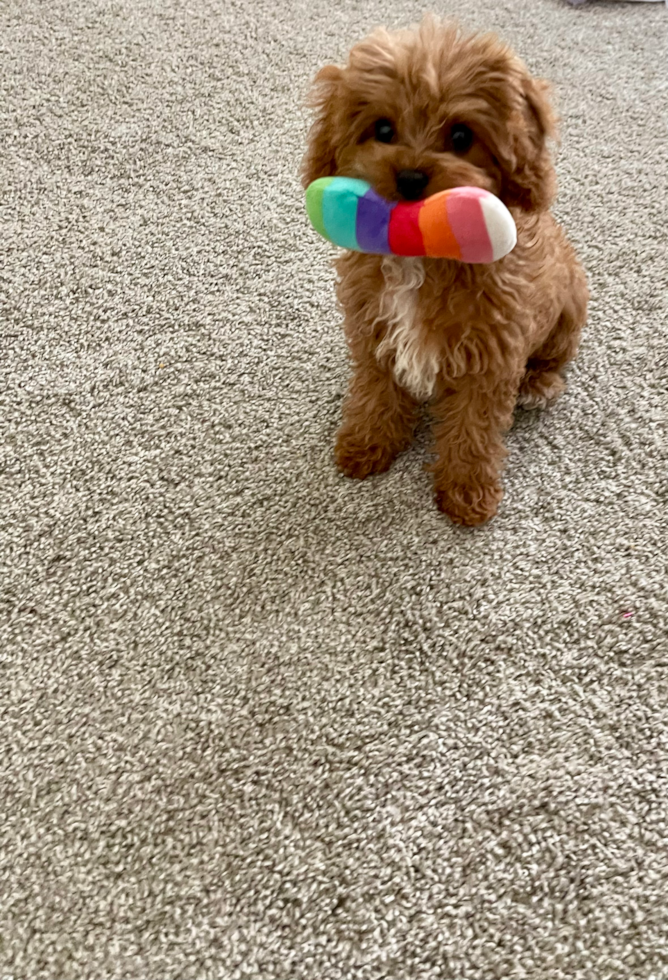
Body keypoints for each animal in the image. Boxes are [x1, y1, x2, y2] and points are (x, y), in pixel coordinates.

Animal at [300, 15, 588, 524]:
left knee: (554, 358)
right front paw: (367, 441)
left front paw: (467, 491)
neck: (421, 256)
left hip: (570, 305)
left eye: (461, 137)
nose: (411, 177)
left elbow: (473, 426)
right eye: (383, 128)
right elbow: (376, 389)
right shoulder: (374, 329)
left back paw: (539, 382)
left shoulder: (490, 357)